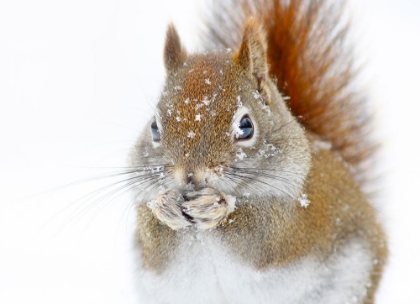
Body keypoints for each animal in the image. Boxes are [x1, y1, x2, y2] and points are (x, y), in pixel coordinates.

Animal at [128, 0, 388, 302]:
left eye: (246, 126)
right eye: (154, 128)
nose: (190, 175)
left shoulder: (291, 224)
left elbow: (259, 237)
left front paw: (217, 207)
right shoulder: (154, 253)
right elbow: (155, 244)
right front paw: (164, 206)